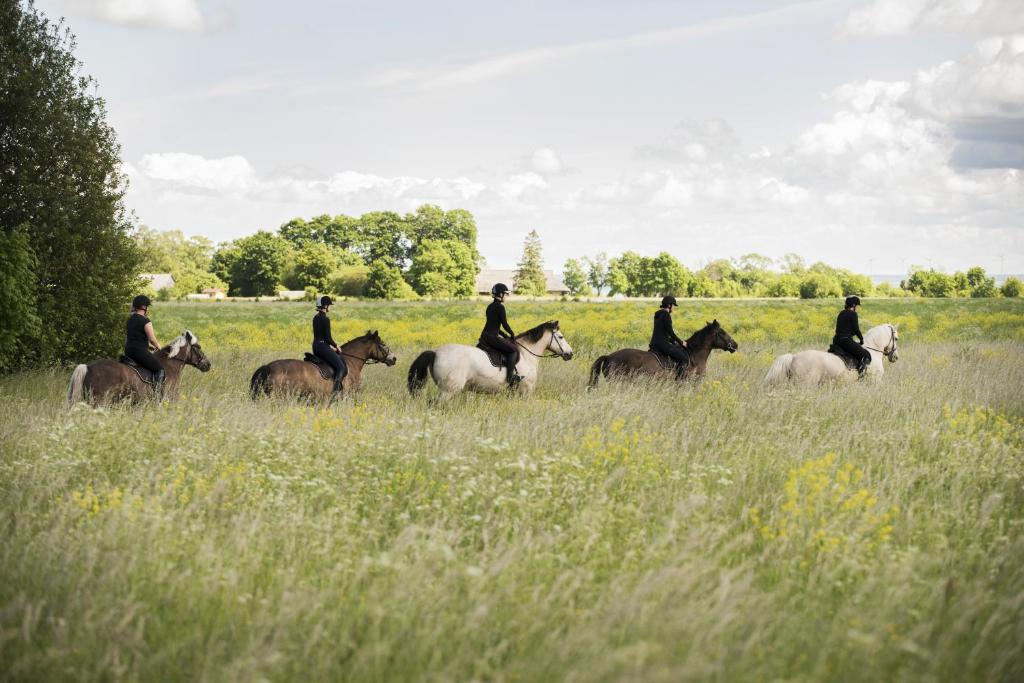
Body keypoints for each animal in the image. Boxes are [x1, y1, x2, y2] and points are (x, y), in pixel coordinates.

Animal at [405, 321, 573, 401]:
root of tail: (436, 353)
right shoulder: (525, 391)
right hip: (448, 390)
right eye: (560, 337)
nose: (570, 353)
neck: (526, 355)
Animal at [761, 323, 897, 387]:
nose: (895, 357)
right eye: (896, 338)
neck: (873, 350)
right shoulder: (875, 381)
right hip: (805, 384)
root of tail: (794, 357)